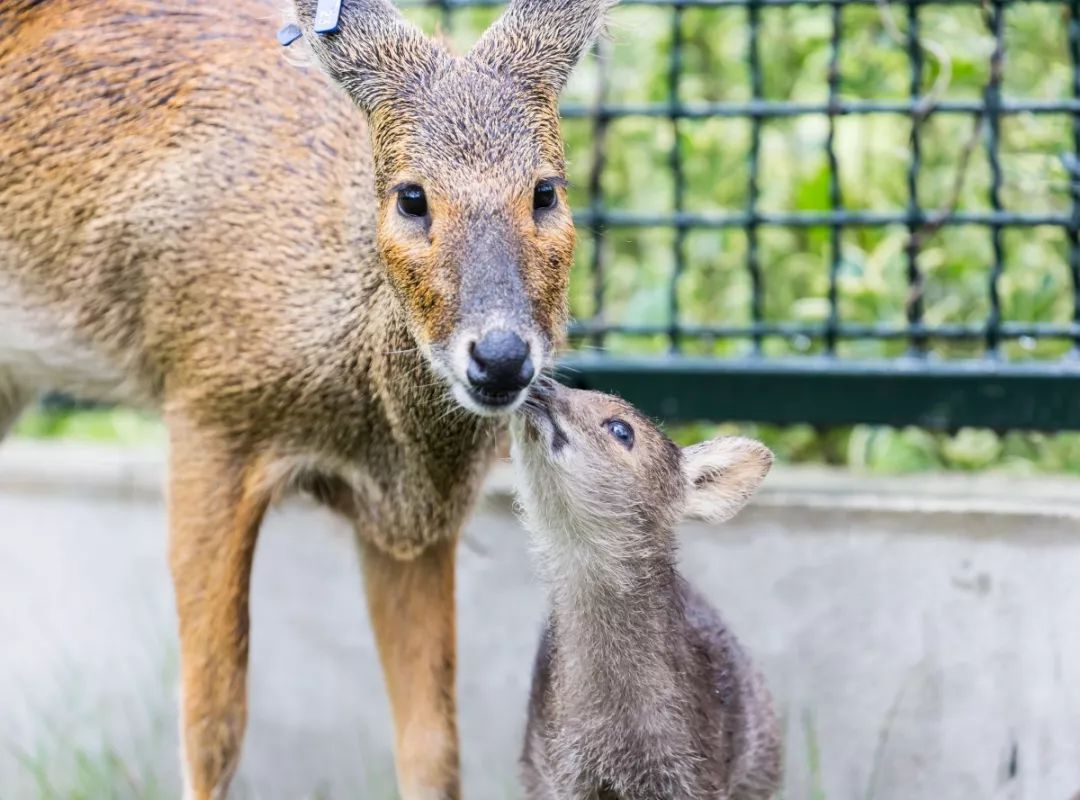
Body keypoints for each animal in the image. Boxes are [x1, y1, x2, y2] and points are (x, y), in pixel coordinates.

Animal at [0, 1, 609, 798]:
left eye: (546, 191)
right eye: (411, 196)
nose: (502, 355)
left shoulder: (410, 516)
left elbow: (432, 745)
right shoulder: (208, 409)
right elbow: (212, 724)